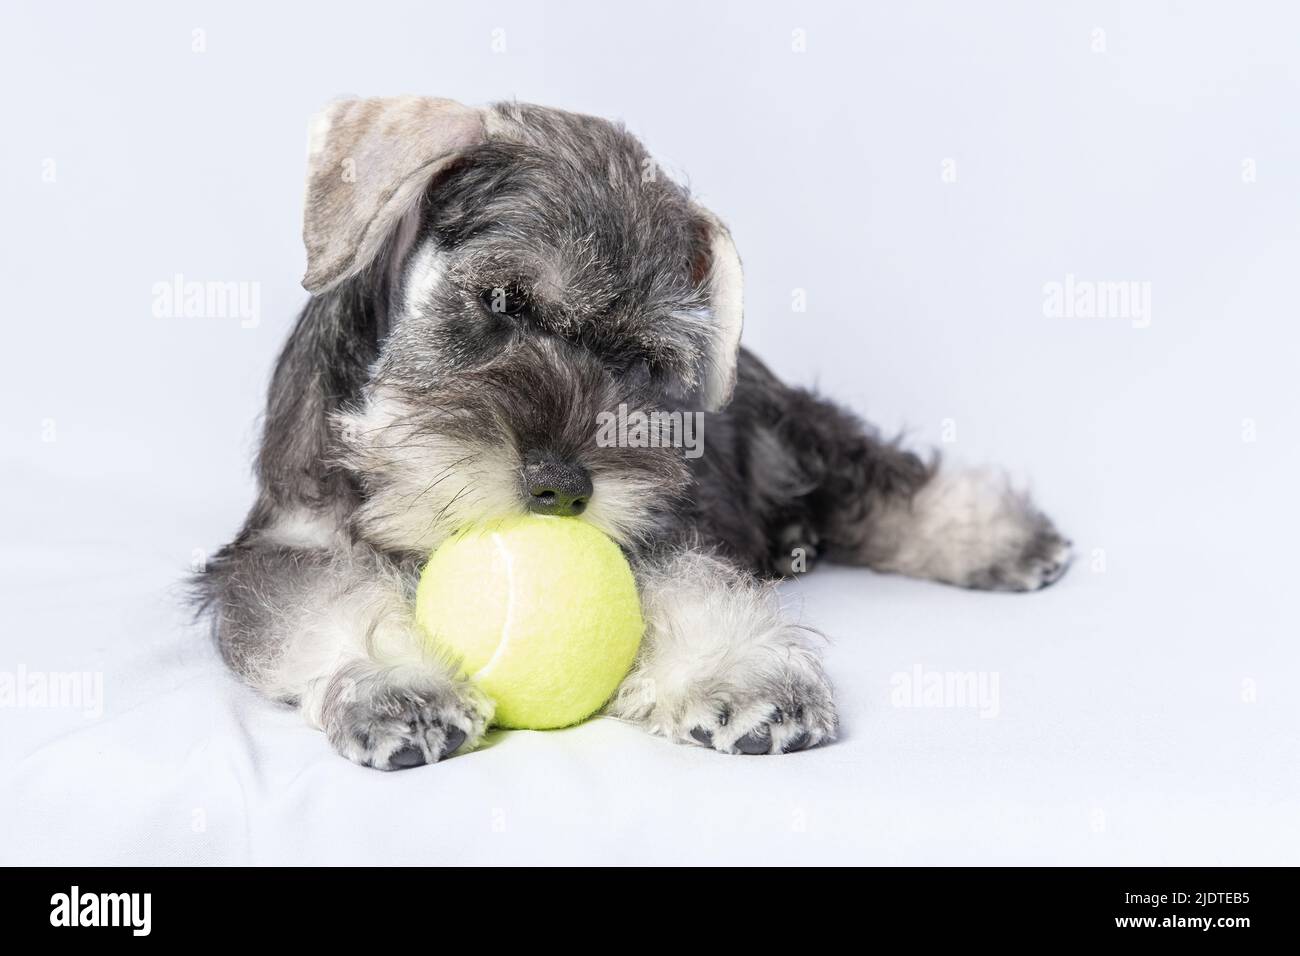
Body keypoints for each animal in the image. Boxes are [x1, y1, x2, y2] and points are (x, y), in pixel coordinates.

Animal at [189, 97, 1066, 770]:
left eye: (645, 357)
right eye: (501, 301)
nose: (564, 487)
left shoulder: (665, 523)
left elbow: (690, 587)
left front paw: (737, 674)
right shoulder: (281, 546)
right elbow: (325, 603)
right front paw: (398, 685)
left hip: (793, 435)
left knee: (878, 480)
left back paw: (999, 537)